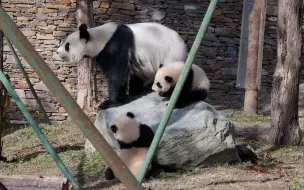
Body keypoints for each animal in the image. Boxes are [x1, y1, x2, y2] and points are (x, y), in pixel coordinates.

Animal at [55, 21, 186, 109]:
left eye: (67, 45)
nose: (57, 51)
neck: (99, 38)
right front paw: (132, 92)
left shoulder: (115, 47)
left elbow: (116, 75)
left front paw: (109, 103)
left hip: (172, 56)